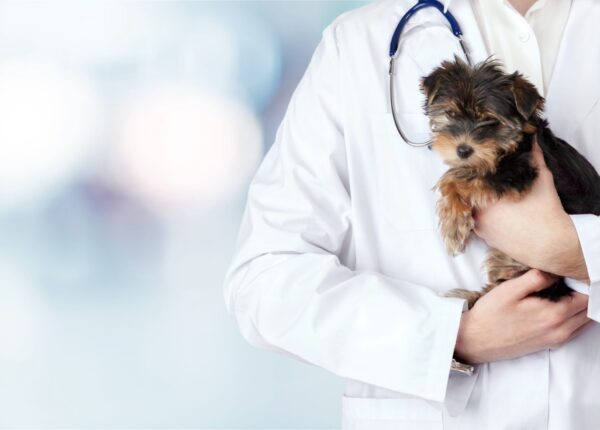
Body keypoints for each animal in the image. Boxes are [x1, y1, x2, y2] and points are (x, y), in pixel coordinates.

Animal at [420, 56, 600, 310]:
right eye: (451, 114)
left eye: (490, 121)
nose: (463, 150)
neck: (509, 144)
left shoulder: (518, 173)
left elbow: (456, 179)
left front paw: (453, 225)